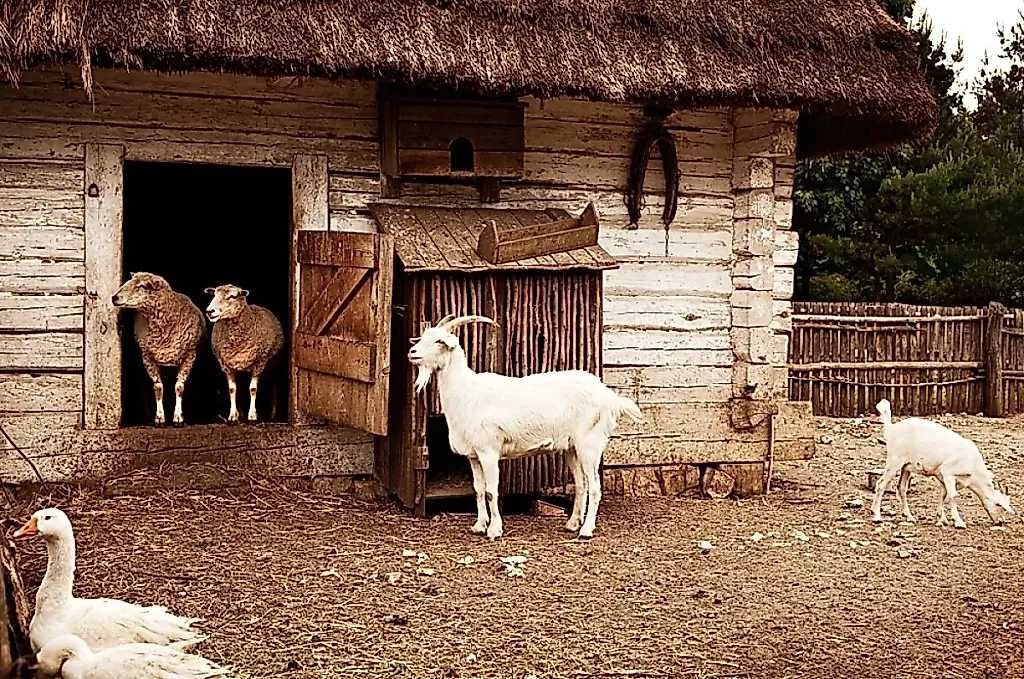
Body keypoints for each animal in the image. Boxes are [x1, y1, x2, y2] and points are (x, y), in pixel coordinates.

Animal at [112, 272, 206, 426]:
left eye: (143, 286)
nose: (114, 297)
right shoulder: (148, 357)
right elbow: (158, 388)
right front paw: (159, 418)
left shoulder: (190, 356)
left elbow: (179, 387)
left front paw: (178, 418)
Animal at [204, 284, 285, 424]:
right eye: (214, 294)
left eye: (232, 296)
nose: (210, 311)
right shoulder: (226, 365)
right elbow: (232, 389)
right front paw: (232, 416)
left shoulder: (260, 363)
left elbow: (252, 389)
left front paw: (252, 416)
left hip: (274, 366)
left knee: (275, 387)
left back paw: (273, 416)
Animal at [407, 314, 644, 540]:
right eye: (423, 337)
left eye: (439, 341)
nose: (412, 352)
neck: (467, 392)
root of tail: (608, 395)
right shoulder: (473, 455)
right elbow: (479, 490)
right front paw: (479, 525)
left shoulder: (489, 451)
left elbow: (491, 491)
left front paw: (494, 530)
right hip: (572, 447)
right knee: (581, 484)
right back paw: (572, 523)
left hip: (590, 444)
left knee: (594, 487)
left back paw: (586, 530)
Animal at [871, 398, 1015, 528]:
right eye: (999, 505)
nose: (1000, 522)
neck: (973, 468)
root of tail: (891, 429)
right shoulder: (948, 473)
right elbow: (953, 496)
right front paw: (959, 522)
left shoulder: (942, 477)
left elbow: (943, 495)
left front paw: (942, 519)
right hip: (894, 462)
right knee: (881, 484)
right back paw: (877, 517)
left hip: (906, 467)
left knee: (901, 488)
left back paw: (909, 517)